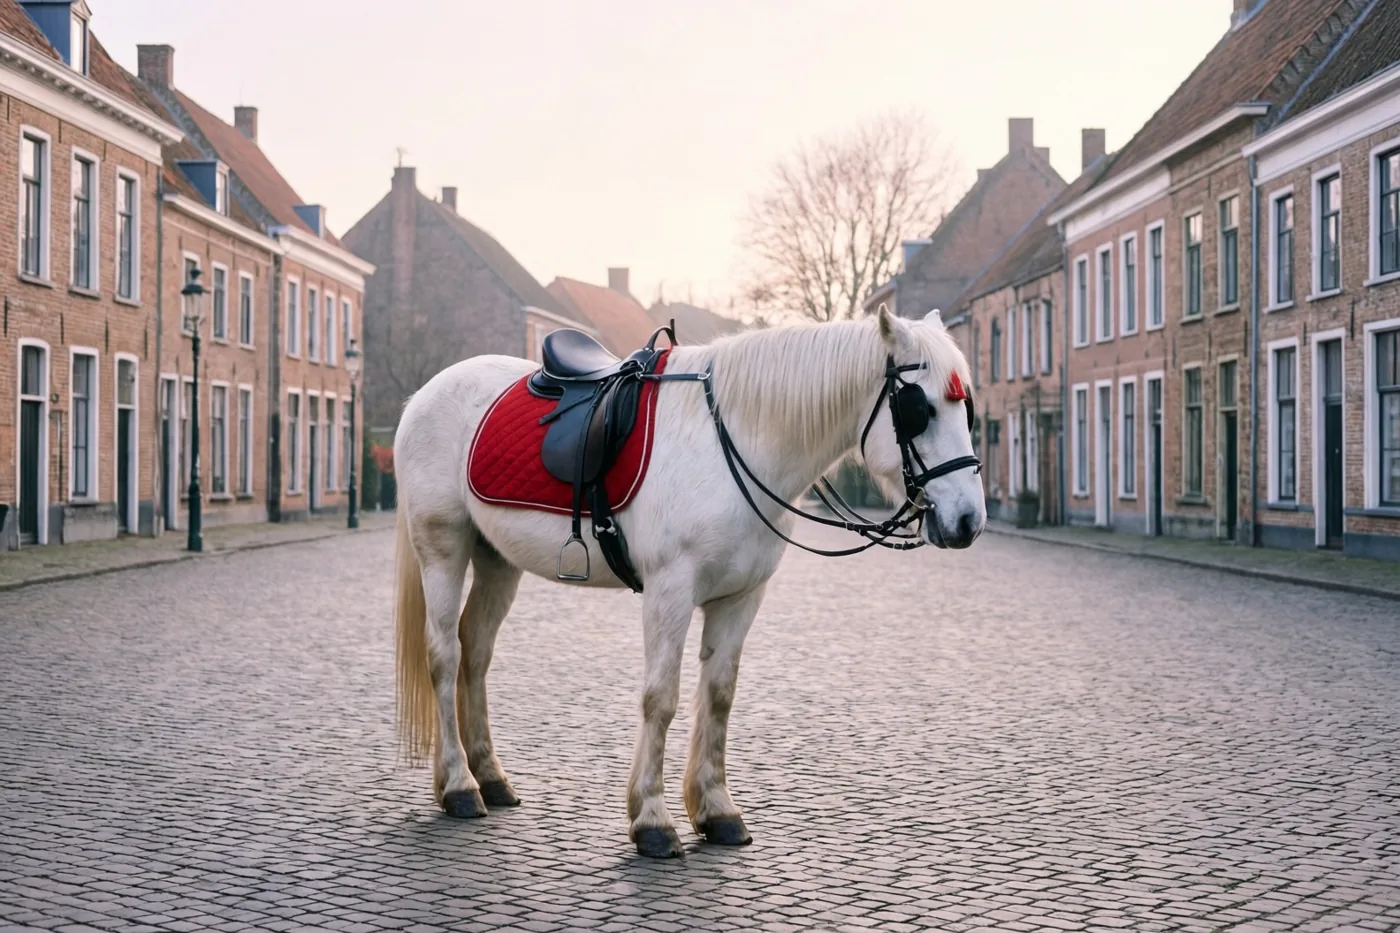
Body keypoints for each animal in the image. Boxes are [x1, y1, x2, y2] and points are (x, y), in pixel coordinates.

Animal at [391, 305, 986, 858]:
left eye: (967, 409)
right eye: (919, 409)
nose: (968, 521)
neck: (736, 440)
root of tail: (426, 392)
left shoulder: (740, 598)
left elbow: (719, 696)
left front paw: (717, 809)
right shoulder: (669, 592)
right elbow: (661, 698)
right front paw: (652, 819)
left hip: (497, 559)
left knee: (475, 652)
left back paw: (490, 776)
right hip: (444, 549)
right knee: (444, 655)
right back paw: (459, 785)